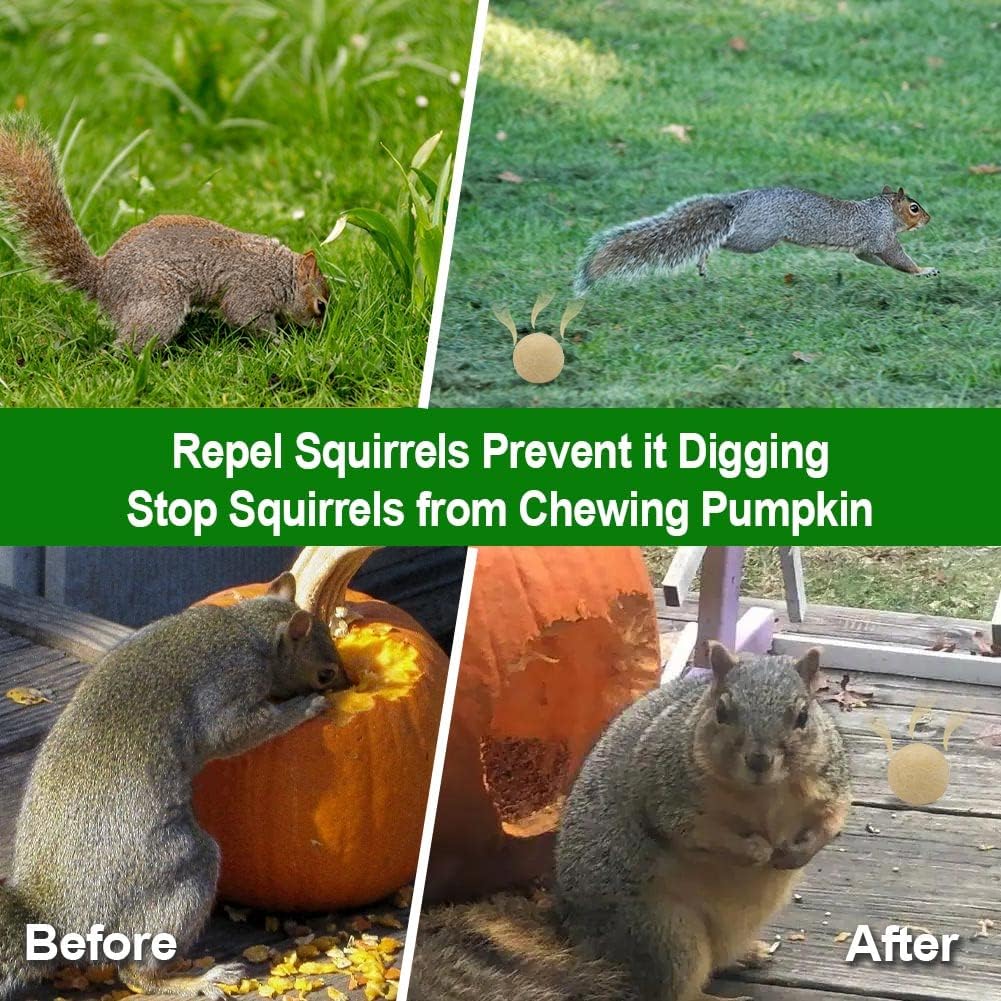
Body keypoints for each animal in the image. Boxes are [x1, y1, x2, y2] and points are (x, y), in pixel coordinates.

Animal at [0, 114, 330, 349]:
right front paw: (279, 342)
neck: (281, 273)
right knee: (128, 345)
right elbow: (244, 316)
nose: (320, 333)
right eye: (320, 306)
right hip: (159, 303)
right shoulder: (251, 290)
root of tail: (103, 281)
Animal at [0, 572, 351, 1001]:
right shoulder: (230, 690)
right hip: (178, 874)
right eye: (324, 673)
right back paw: (196, 981)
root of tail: (54, 917)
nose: (347, 684)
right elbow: (236, 731)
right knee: (138, 974)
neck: (248, 630)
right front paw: (305, 708)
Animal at [409, 643, 852, 1001]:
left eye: (803, 715)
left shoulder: (830, 781)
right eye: (722, 711)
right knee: (676, 992)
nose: (759, 760)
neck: (764, 793)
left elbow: (833, 819)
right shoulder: (667, 793)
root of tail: (579, 939)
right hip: (664, 936)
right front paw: (757, 850)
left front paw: (798, 852)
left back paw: (749, 954)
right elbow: (700, 834)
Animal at [575, 185, 938, 293]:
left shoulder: (866, 247)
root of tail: (738, 202)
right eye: (914, 207)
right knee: (717, 239)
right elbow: (900, 260)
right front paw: (924, 271)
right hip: (758, 236)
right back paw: (704, 257)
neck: (882, 210)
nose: (930, 218)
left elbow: (871, 259)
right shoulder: (883, 237)